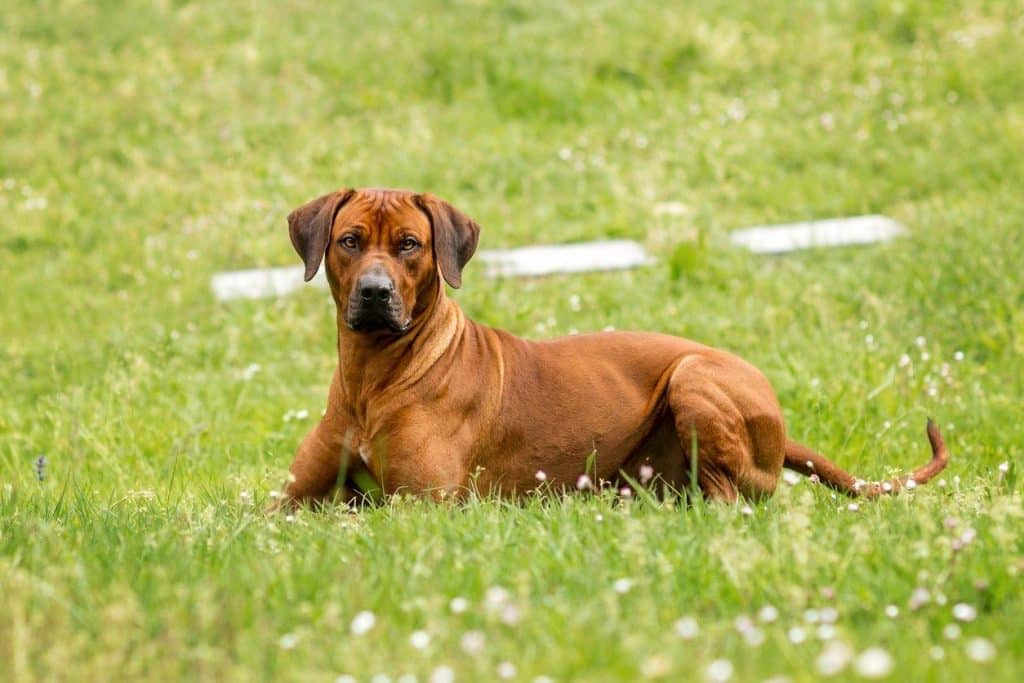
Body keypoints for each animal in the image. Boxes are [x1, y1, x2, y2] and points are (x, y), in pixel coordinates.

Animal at [276, 187, 946, 507]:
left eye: (410, 245)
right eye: (350, 240)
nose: (375, 293)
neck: (374, 377)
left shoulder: (422, 505)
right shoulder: (287, 503)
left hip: (693, 376)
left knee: (731, 502)